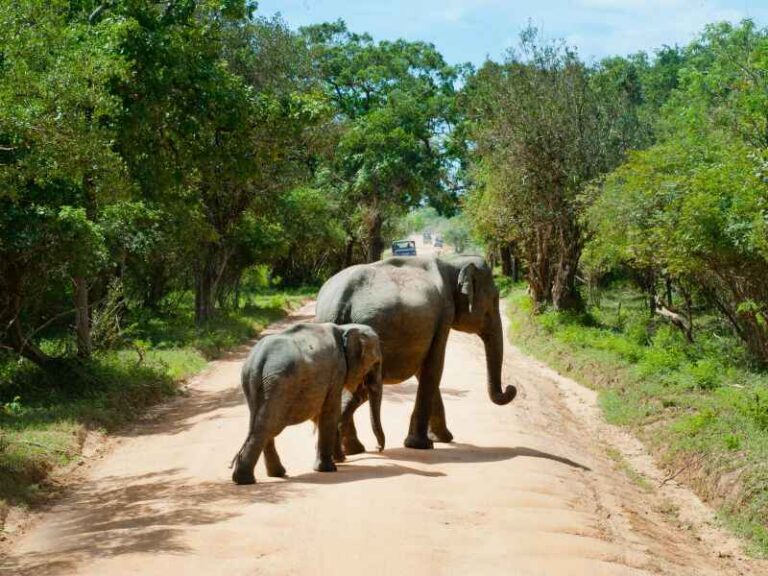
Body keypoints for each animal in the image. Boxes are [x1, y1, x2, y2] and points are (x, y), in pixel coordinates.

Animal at [231, 323, 384, 485]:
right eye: (376, 363)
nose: (378, 448)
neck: (344, 328)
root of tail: (258, 360)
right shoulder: (337, 370)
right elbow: (330, 411)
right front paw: (329, 468)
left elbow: (319, 413)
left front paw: (336, 461)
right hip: (280, 384)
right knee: (269, 425)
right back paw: (245, 480)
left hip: (255, 383)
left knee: (262, 424)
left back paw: (272, 474)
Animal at [315, 255, 516, 455]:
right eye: (494, 300)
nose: (511, 388)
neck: (452, 263)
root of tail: (338, 302)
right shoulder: (444, 314)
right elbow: (434, 366)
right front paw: (422, 444)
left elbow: (424, 369)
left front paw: (442, 438)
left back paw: (353, 450)